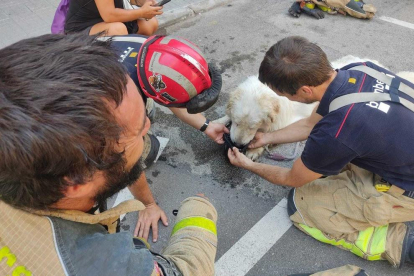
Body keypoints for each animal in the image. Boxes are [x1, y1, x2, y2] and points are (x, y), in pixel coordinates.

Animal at [217, 55, 414, 161]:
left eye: (253, 126)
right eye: (237, 122)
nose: (237, 144)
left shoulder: (291, 120)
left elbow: (274, 132)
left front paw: (254, 149)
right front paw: (219, 122)